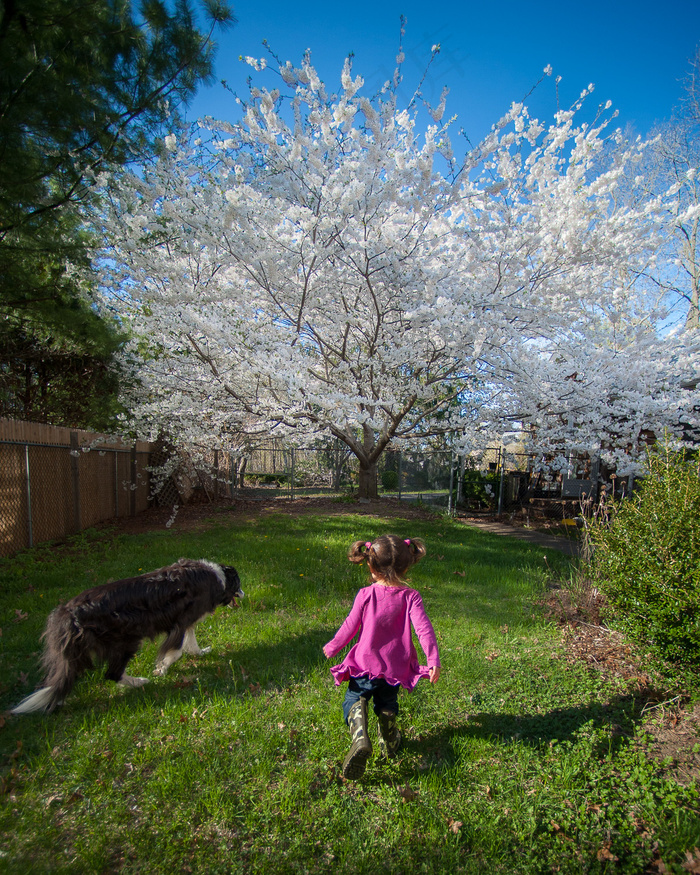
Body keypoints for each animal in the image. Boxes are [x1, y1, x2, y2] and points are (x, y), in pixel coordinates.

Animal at [10, 556, 243, 716]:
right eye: (239, 583)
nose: (244, 593)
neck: (218, 577)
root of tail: (70, 613)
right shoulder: (180, 622)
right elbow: (175, 651)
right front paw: (162, 668)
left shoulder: (187, 623)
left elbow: (191, 642)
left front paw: (201, 652)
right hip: (126, 641)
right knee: (111, 673)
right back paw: (139, 682)